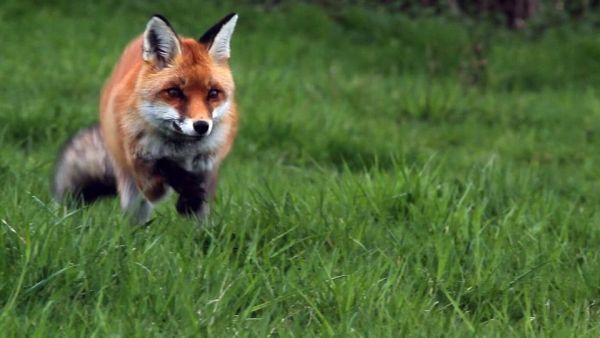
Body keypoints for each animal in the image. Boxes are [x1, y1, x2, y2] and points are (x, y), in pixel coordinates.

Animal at [52, 13, 239, 223]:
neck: (181, 150)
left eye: (213, 93)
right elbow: (165, 167)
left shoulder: (209, 165)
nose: (201, 126)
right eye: (174, 92)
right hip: (131, 189)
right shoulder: (147, 179)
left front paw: (189, 199)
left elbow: (199, 195)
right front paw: (185, 188)